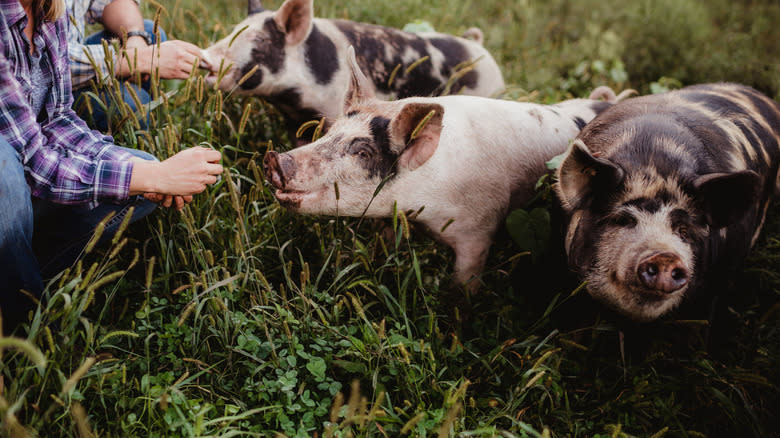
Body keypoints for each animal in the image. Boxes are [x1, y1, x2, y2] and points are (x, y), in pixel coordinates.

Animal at [203, 0, 506, 144]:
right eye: (234, 31)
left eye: (261, 41)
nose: (204, 58)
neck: (292, 101)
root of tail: (477, 46)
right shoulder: (297, 122)